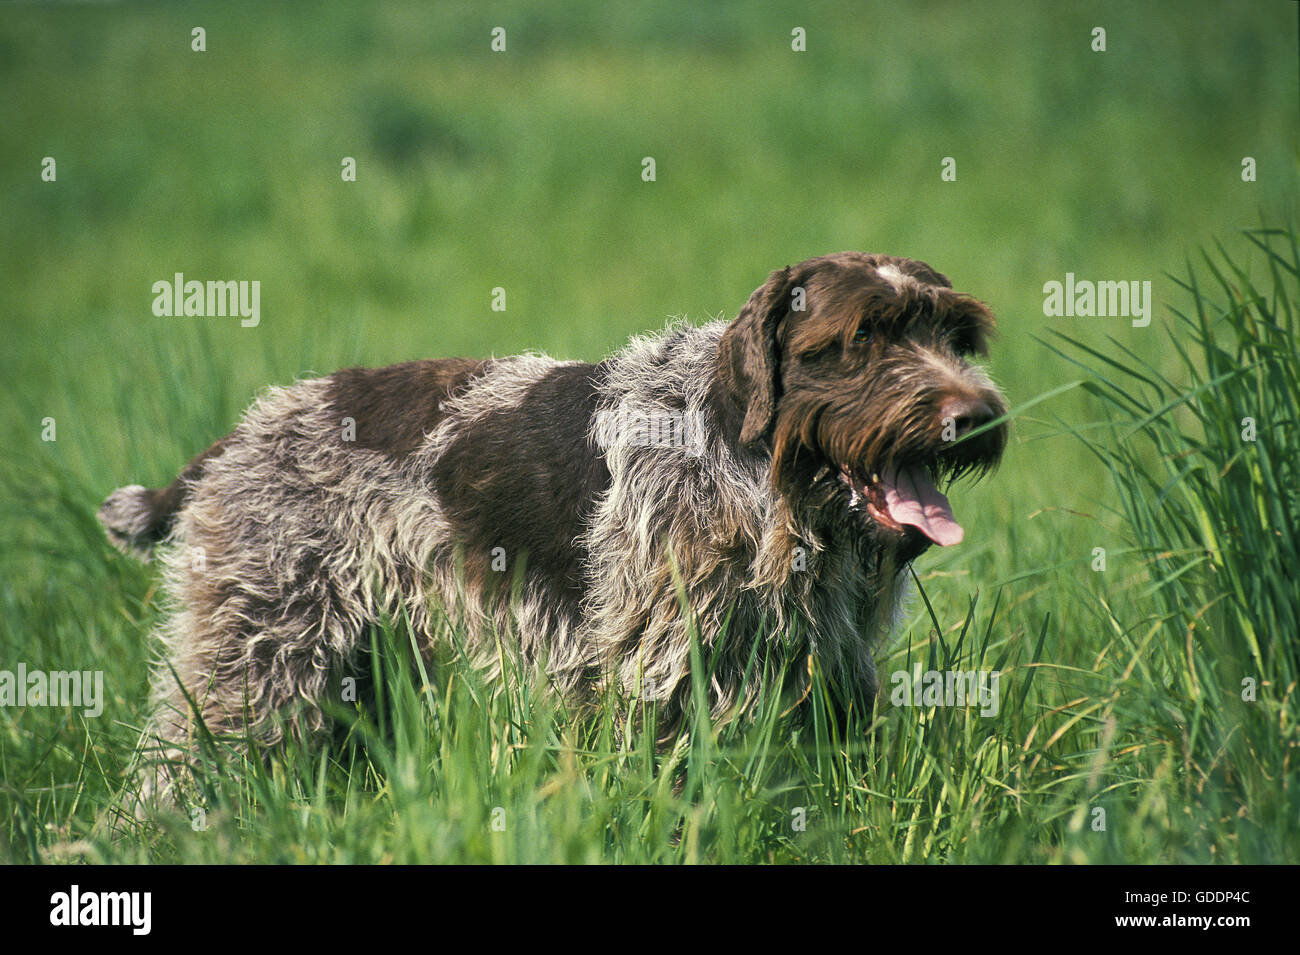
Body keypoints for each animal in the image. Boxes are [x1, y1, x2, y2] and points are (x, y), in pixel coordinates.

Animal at [101, 252, 1008, 805]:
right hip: (256, 657)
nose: (979, 418)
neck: (760, 472)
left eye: (955, 335)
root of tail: (241, 434)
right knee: (176, 766)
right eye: (861, 337)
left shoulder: (823, 661)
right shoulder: (665, 674)